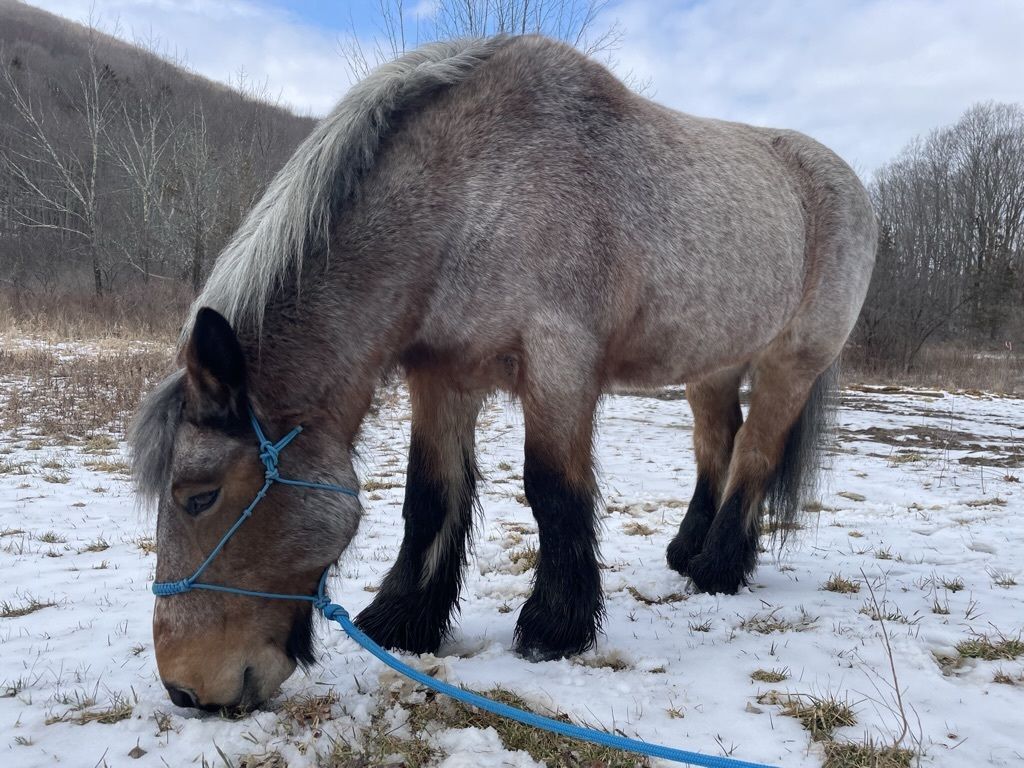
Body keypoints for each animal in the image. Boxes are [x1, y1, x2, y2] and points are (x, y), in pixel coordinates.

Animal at [128, 34, 876, 708]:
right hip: (711, 366)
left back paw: (719, 568)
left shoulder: (559, 363)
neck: (473, 193)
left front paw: (555, 627)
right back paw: (688, 553)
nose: (186, 688)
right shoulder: (442, 373)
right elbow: (431, 493)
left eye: (199, 496)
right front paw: (405, 619)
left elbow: (552, 488)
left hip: (791, 360)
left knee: (754, 453)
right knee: (716, 445)